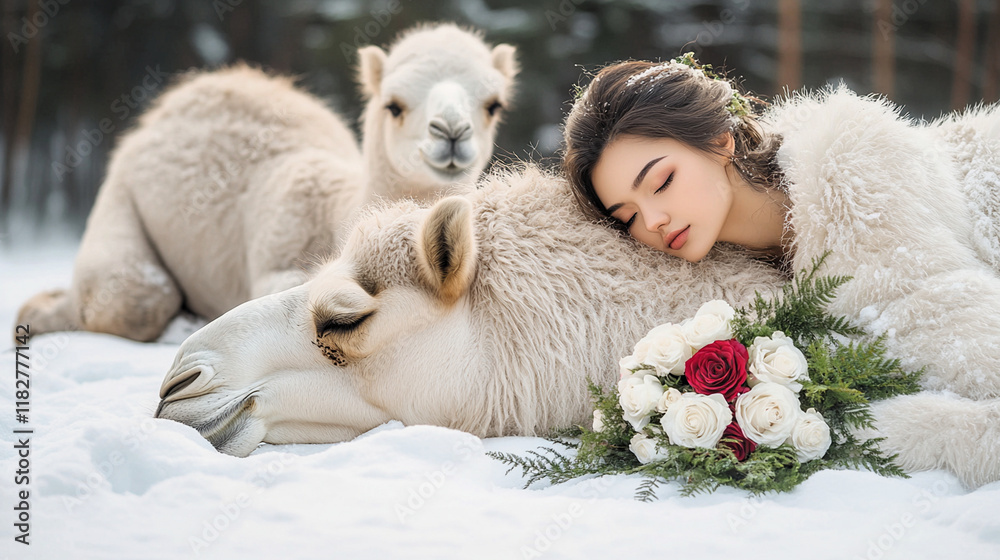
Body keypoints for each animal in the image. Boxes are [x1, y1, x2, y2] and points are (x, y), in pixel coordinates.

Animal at [16, 23, 518, 342]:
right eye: (393, 105)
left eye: (493, 104)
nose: (451, 133)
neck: (337, 210)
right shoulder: (279, 241)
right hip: (119, 196)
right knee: (135, 295)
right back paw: (35, 314)